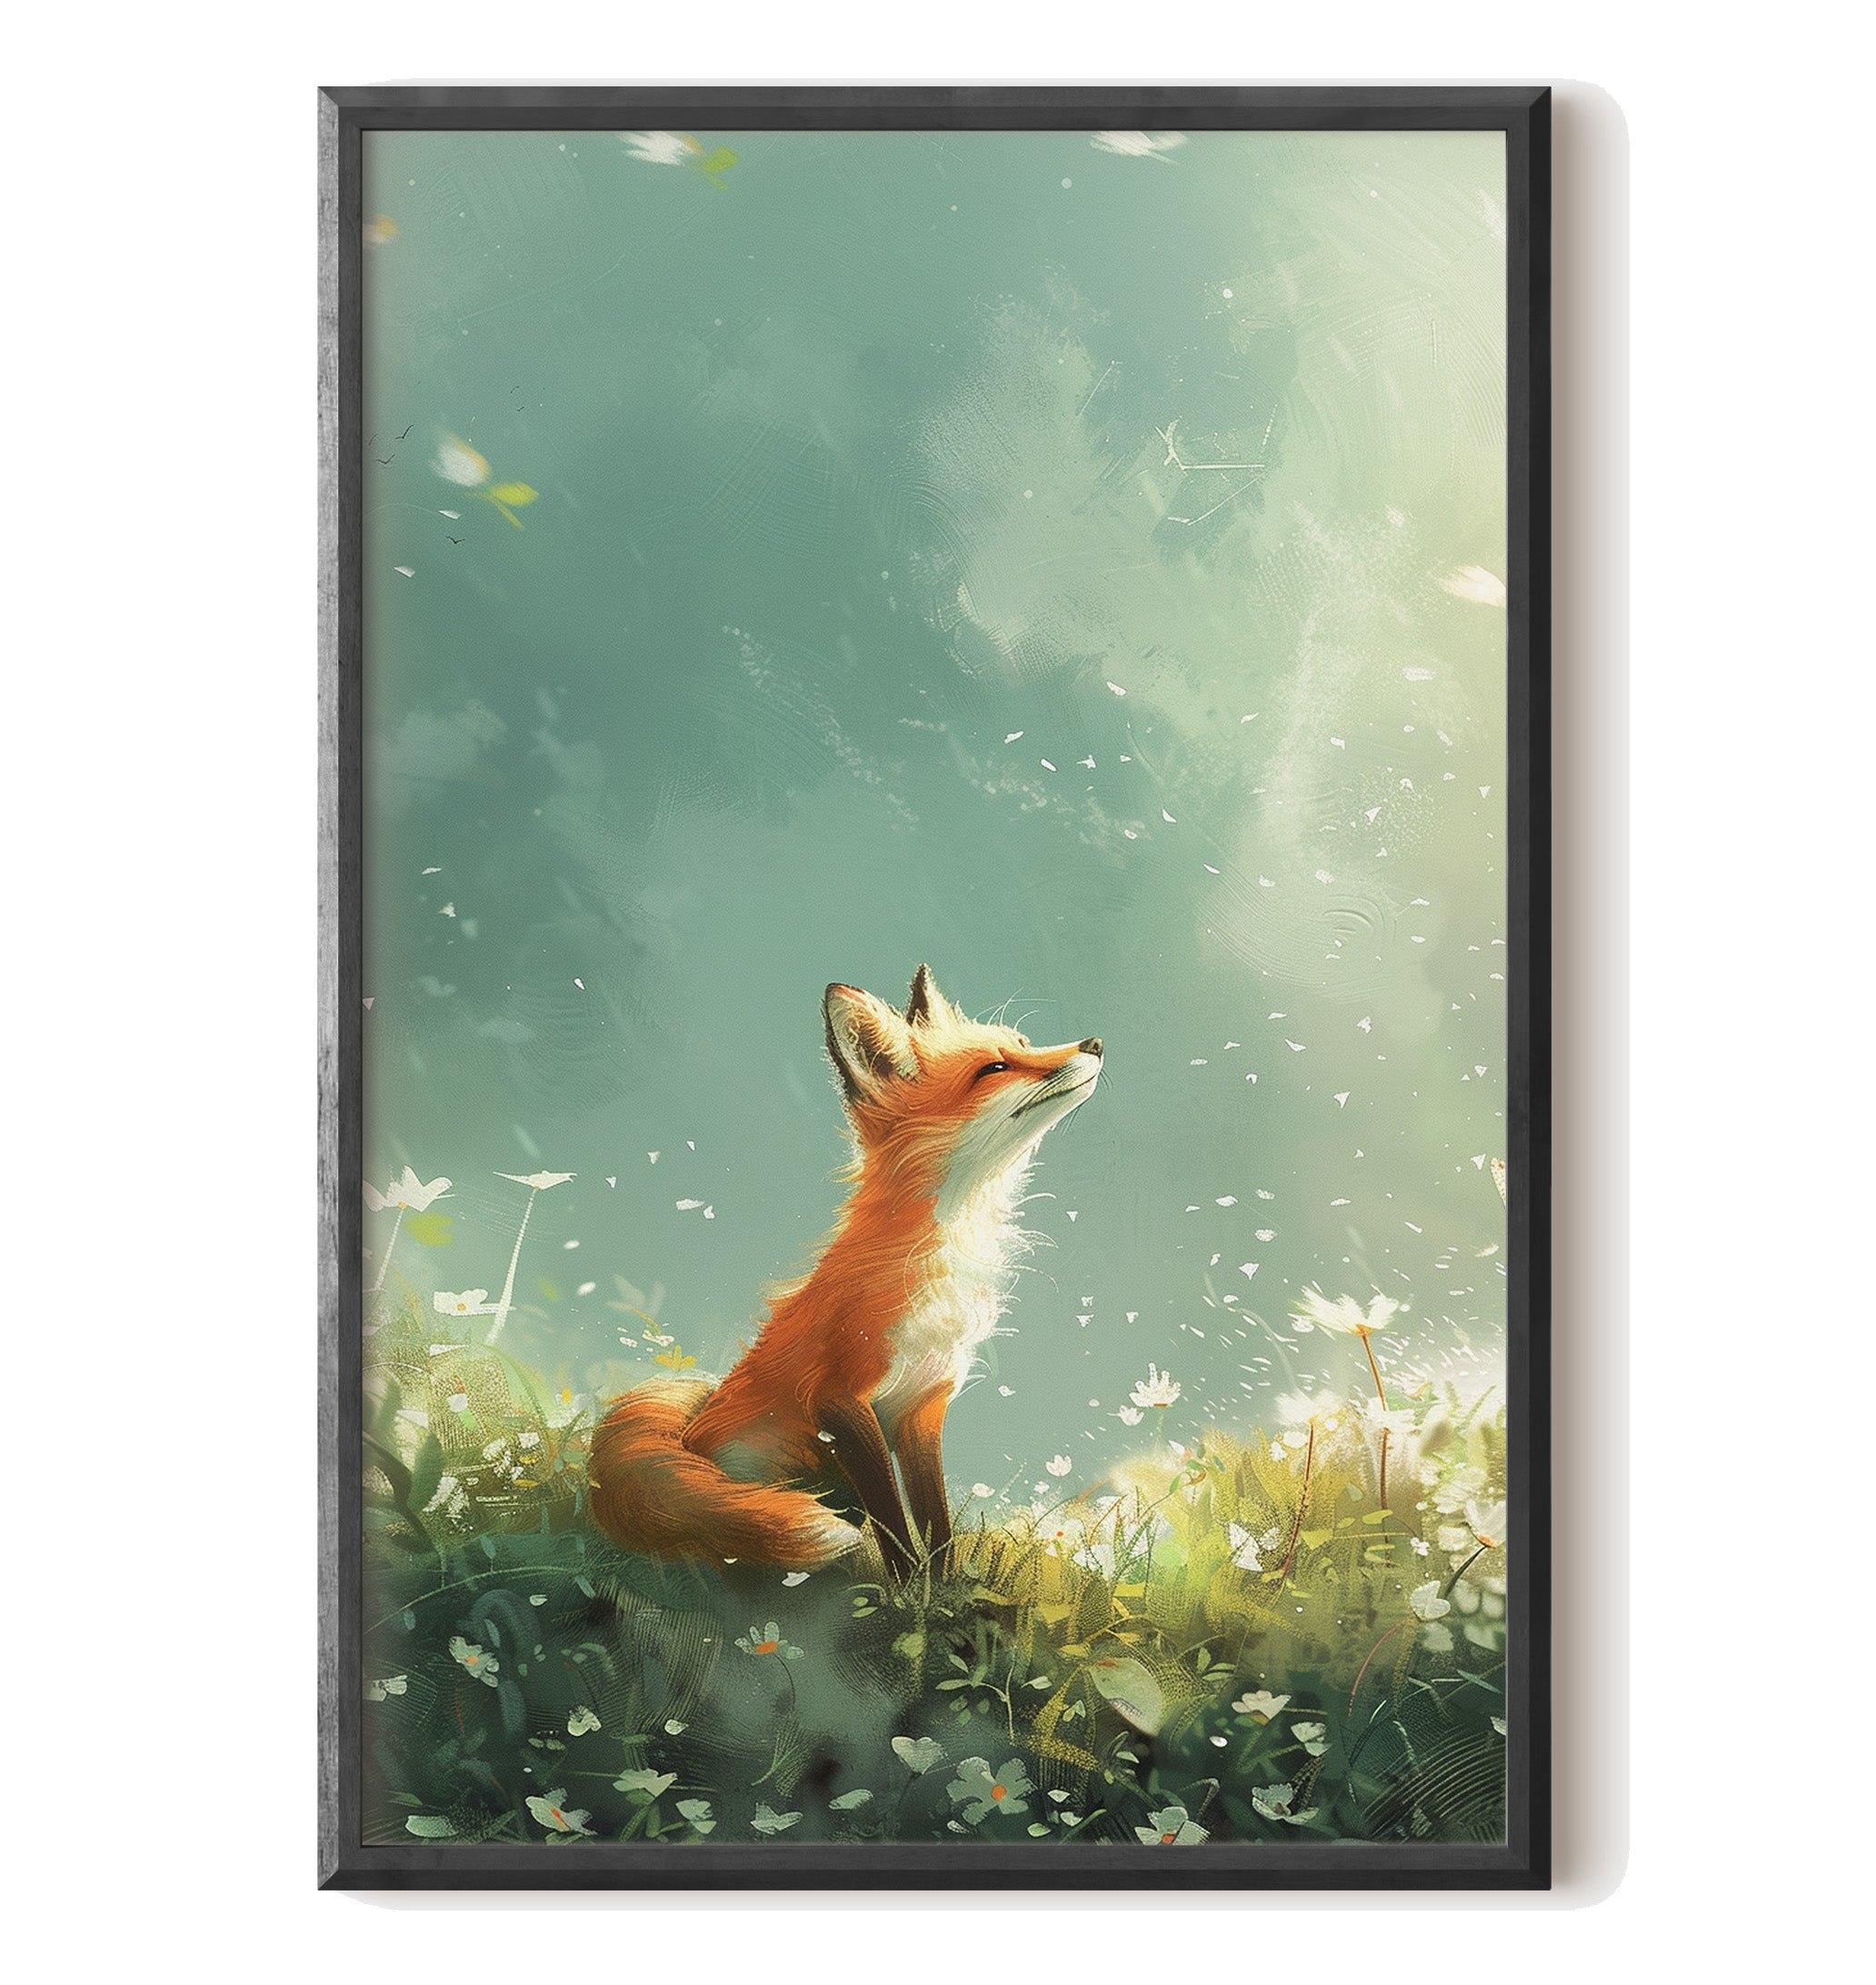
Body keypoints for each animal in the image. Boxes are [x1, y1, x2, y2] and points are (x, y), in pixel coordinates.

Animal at [589, 966, 1102, 1577]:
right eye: (994, 1069)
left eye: (1024, 1043)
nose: (1095, 1043)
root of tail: (688, 1430)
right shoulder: (838, 1399)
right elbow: (892, 1520)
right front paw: (907, 1587)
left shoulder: (924, 1401)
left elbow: (936, 1522)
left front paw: (943, 1586)